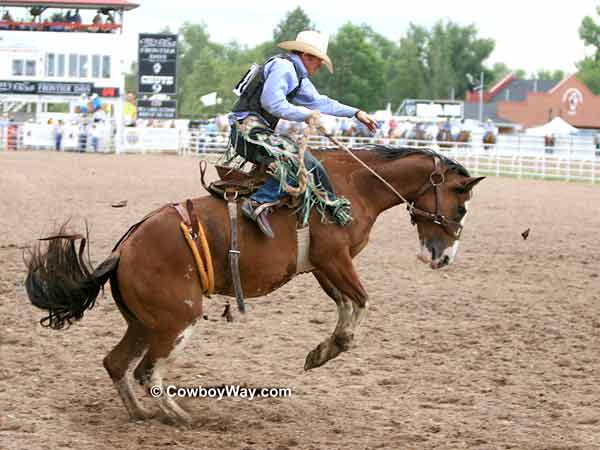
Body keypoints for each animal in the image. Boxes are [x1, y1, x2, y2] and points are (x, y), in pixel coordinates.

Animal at [24, 145, 482, 426]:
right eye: (461, 205)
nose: (443, 257)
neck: (355, 185)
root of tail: (123, 248)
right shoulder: (335, 258)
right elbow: (361, 302)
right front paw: (332, 348)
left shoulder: (322, 265)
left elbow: (345, 304)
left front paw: (321, 352)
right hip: (177, 320)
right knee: (146, 371)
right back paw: (180, 417)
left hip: (143, 322)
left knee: (117, 363)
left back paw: (142, 414)